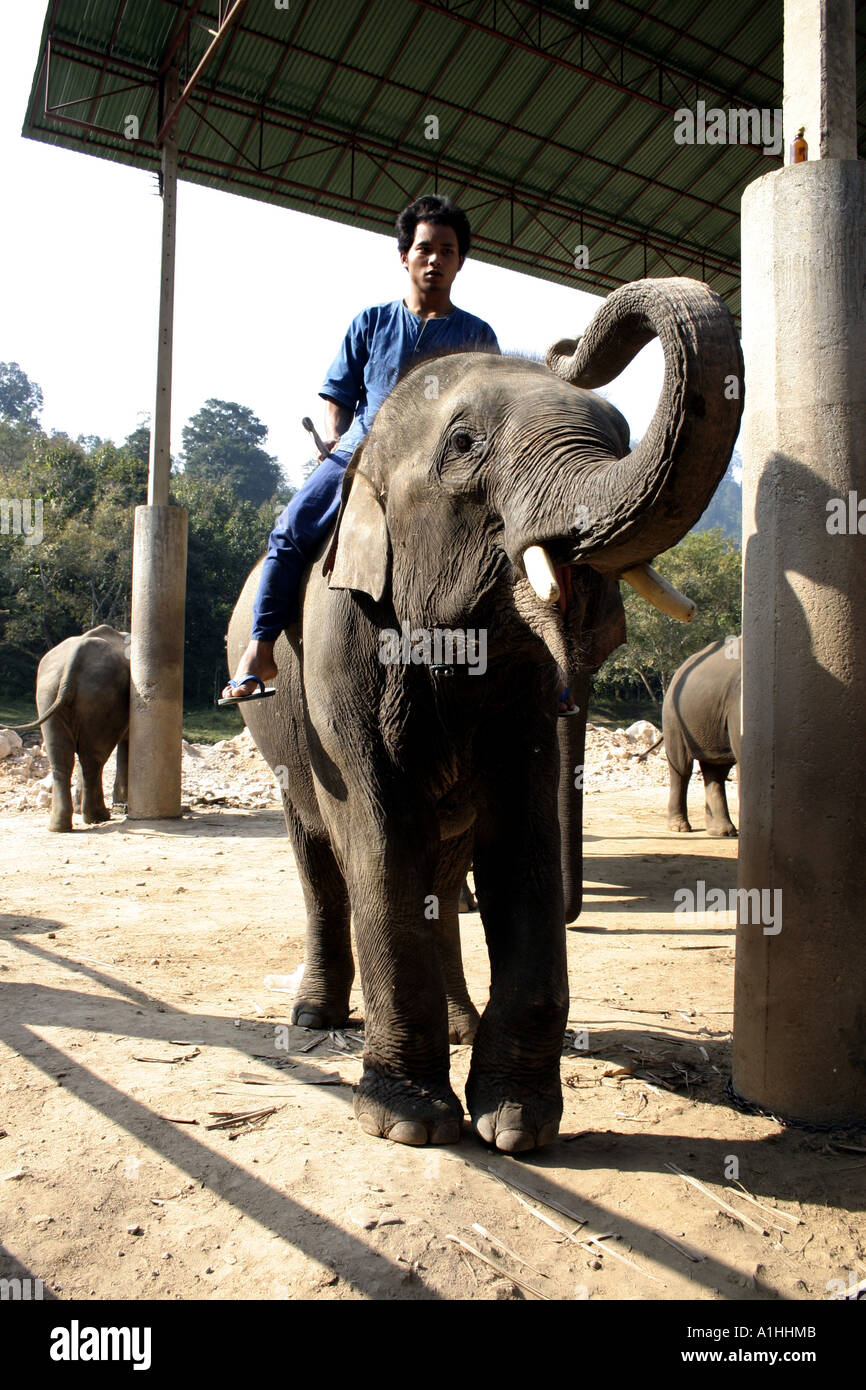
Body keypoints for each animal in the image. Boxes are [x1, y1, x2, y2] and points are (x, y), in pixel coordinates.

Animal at [11, 625, 130, 828]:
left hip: (49, 693)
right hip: (97, 695)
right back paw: (97, 816)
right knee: (92, 758)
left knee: (64, 757)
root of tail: (75, 657)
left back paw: (61, 824)